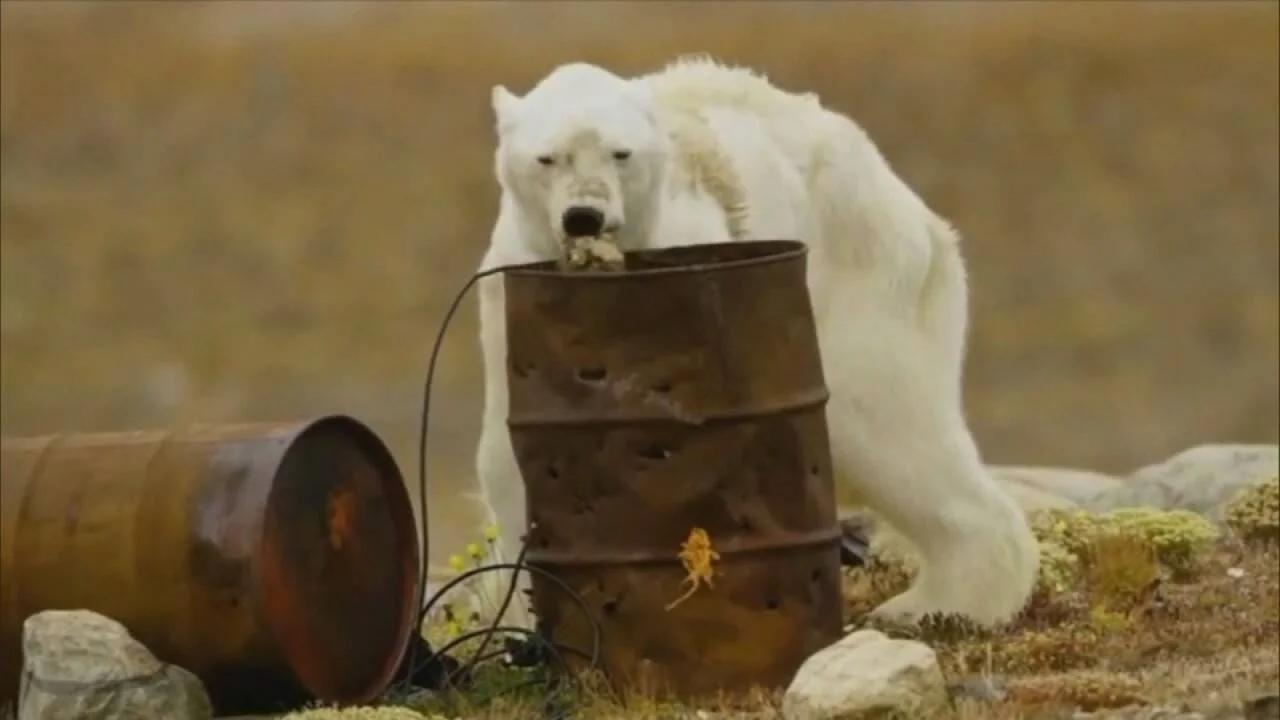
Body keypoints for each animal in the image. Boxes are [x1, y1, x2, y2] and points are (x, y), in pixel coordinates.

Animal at [469, 56, 1040, 630]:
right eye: (548, 158)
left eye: (620, 153)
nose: (583, 215)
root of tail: (918, 213)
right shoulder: (510, 298)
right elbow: (511, 457)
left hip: (858, 280)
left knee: (883, 423)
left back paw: (930, 604)